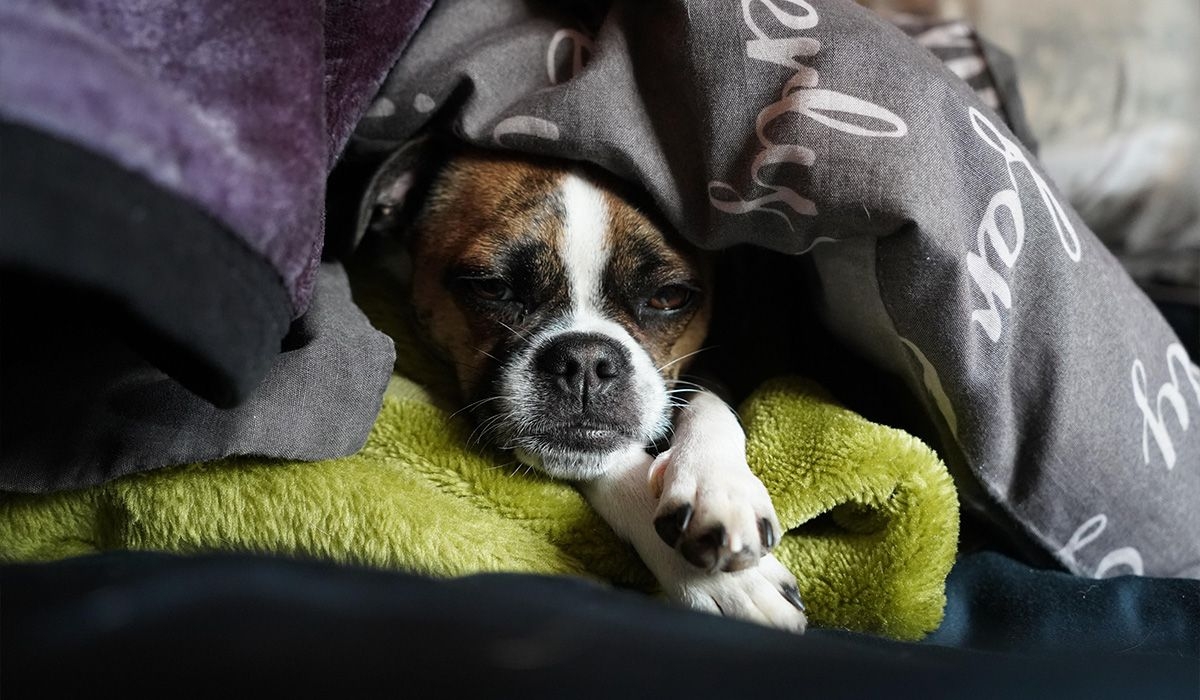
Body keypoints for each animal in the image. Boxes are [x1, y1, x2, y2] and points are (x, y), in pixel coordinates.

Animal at [393, 145, 806, 633]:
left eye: (669, 297)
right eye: (492, 287)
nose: (587, 361)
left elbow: (707, 403)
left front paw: (720, 488)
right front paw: (727, 582)